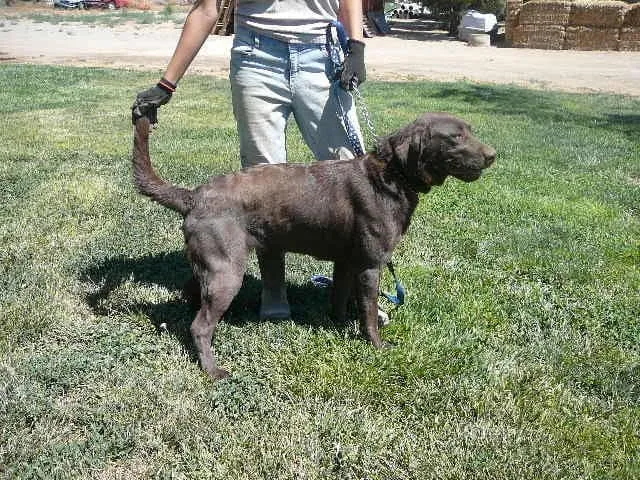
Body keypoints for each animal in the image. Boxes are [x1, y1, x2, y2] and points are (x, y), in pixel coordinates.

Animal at [132, 113, 495, 379]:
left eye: (470, 131)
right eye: (455, 137)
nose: (493, 156)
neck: (391, 175)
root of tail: (194, 195)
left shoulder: (347, 262)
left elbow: (339, 297)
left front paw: (338, 325)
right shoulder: (370, 265)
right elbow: (368, 312)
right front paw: (377, 345)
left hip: (213, 262)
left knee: (191, 293)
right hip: (227, 271)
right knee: (200, 326)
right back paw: (212, 369)